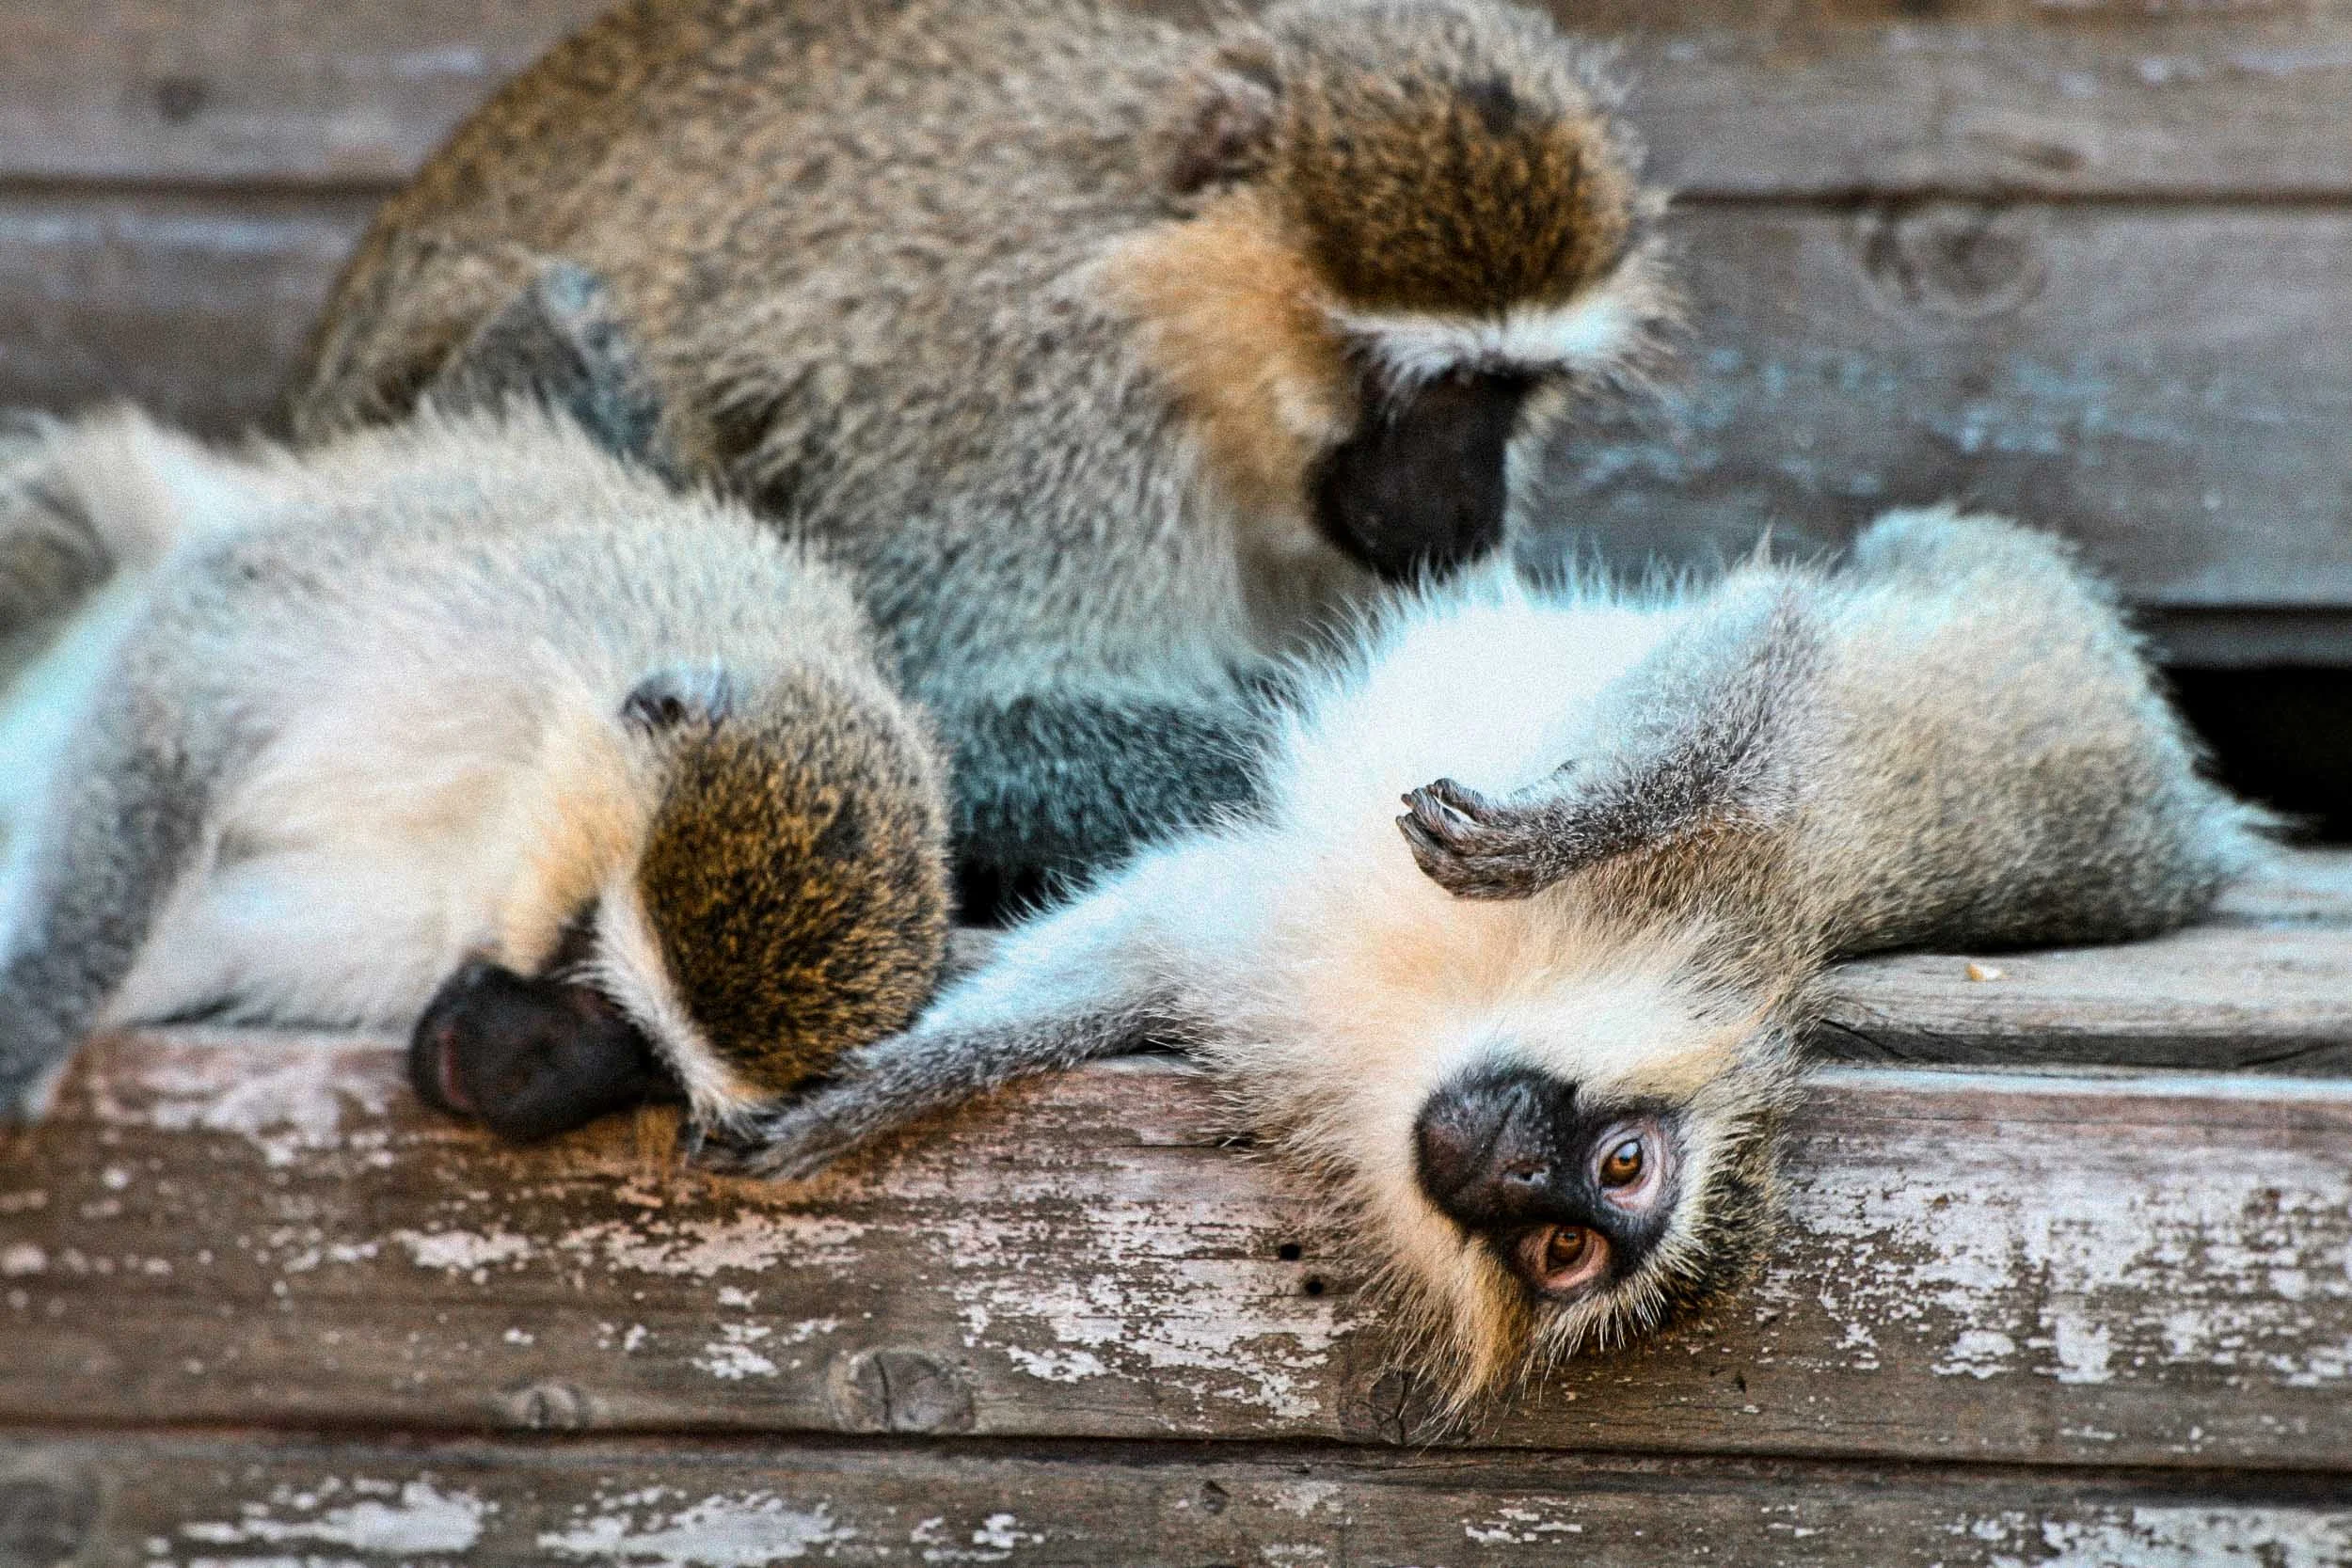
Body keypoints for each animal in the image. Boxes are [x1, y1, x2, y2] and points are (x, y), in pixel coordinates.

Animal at [0, 400, 951, 1142]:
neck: (507, 806)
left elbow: (212, 937)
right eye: (598, 992)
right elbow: (189, 670)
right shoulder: (476, 623)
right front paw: (38, 1007)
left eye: (652, 1069)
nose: (527, 1089)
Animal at [697, 506, 2266, 1401]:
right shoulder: (1726, 875)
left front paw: (861, 1092)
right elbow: (1760, 670)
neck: (1463, 1005)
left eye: (1568, 1240)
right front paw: (1562, 824)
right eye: (1618, 1168)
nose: (1512, 1167)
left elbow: (1150, 941)